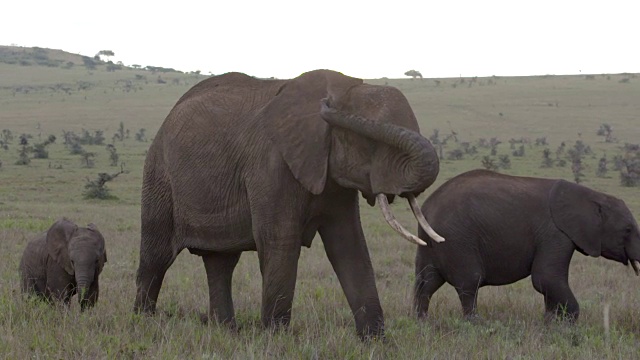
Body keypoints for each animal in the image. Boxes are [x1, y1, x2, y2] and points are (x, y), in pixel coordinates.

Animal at [134, 69, 444, 338]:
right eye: (369, 144)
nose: (327, 105)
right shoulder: (270, 165)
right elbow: (280, 241)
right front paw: (276, 340)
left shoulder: (329, 172)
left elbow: (348, 244)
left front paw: (376, 340)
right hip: (159, 177)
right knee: (157, 256)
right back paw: (143, 322)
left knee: (221, 262)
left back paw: (226, 331)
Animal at [416, 170, 640, 322]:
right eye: (628, 230)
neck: (592, 196)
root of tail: (427, 207)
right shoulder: (554, 234)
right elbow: (545, 278)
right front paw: (567, 326)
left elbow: (548, 283)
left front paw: (550, 323)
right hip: (457, 239)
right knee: (469, 283)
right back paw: (474, 324)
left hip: (434, 243)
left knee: (427, 282)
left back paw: (422, 321)